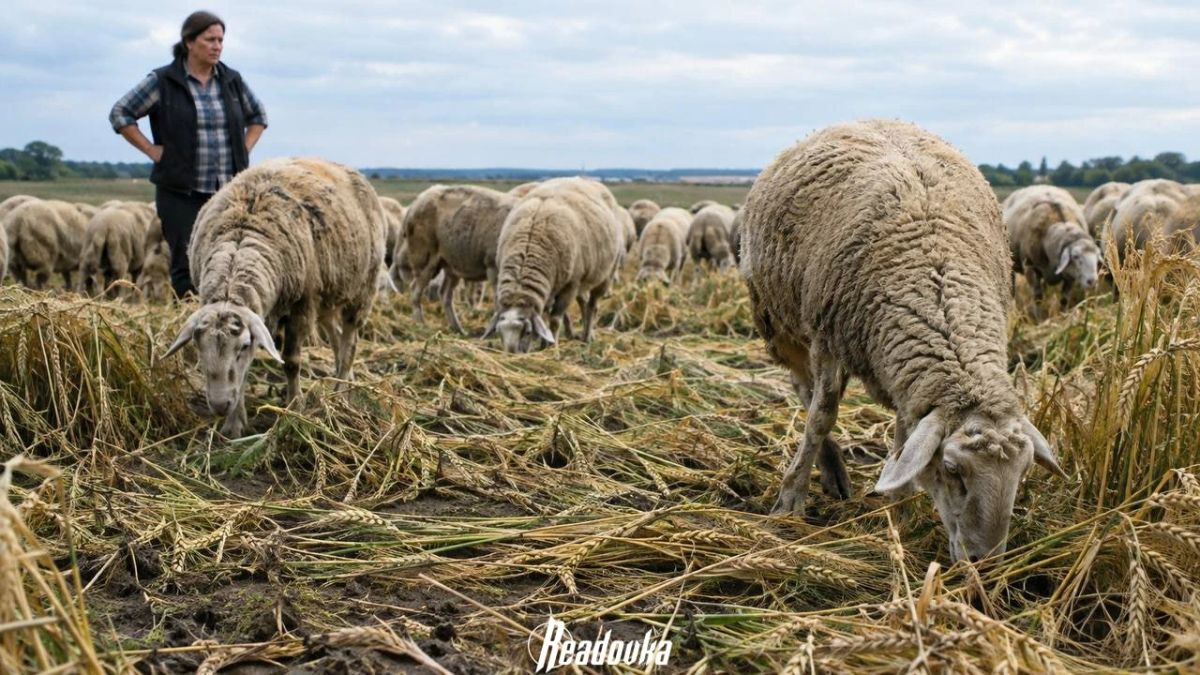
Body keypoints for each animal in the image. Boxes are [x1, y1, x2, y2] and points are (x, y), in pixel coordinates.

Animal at [162, 157, 386, 438]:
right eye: (197, 347)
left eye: (243, 346)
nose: (220, 405)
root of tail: (345, 167)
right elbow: (243, 375)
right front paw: (233, 425)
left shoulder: (302, 306)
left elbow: (291, 362)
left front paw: (294, 406)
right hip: (328, 294)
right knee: (336, 335)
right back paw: (344, 379)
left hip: (363, 287)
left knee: (350, 341)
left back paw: (341, 392)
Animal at [483, 177, 622, 352]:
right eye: (499, 332)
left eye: (527, 332)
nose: (513, 354)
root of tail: (583, 177)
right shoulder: (549, 285)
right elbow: (544, 316)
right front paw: (544, 344)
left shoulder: (571, 285)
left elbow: (555, 319)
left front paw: (552, 347)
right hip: (581, 281)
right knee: (584, 303)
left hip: (606, 274)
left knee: (593, 305)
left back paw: (587, 337)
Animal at [740, 119, 1065, 562]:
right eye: (953, 470)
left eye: (1023, 472)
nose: (984, 563)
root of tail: (866, 119)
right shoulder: (826, 338)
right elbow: (820, 417)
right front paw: (790, 501)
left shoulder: (907, 369)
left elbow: (904, 436)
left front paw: (901, 506)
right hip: (780, 321)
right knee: (804, 389)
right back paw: (831, 469)